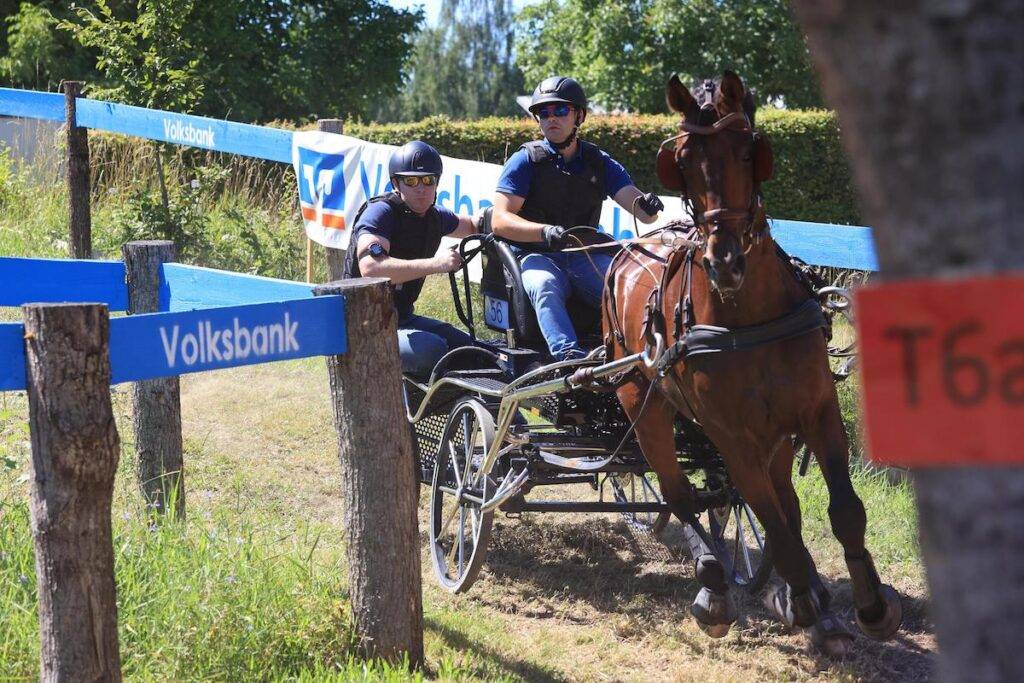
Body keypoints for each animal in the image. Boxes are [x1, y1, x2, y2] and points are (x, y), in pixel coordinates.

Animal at [601, 72, 902, 654]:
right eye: (683, 159)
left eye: (748, 152)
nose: (725, 261)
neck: (748, 317)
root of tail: (626, 252)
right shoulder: (732, 437)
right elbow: (773, 527)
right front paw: (803, 603)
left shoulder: (817, 412)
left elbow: (842, 512)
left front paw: (870, 606)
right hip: (642, 405)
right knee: (680, 494)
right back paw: (717, 587)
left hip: (776, 434)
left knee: (784, 499)